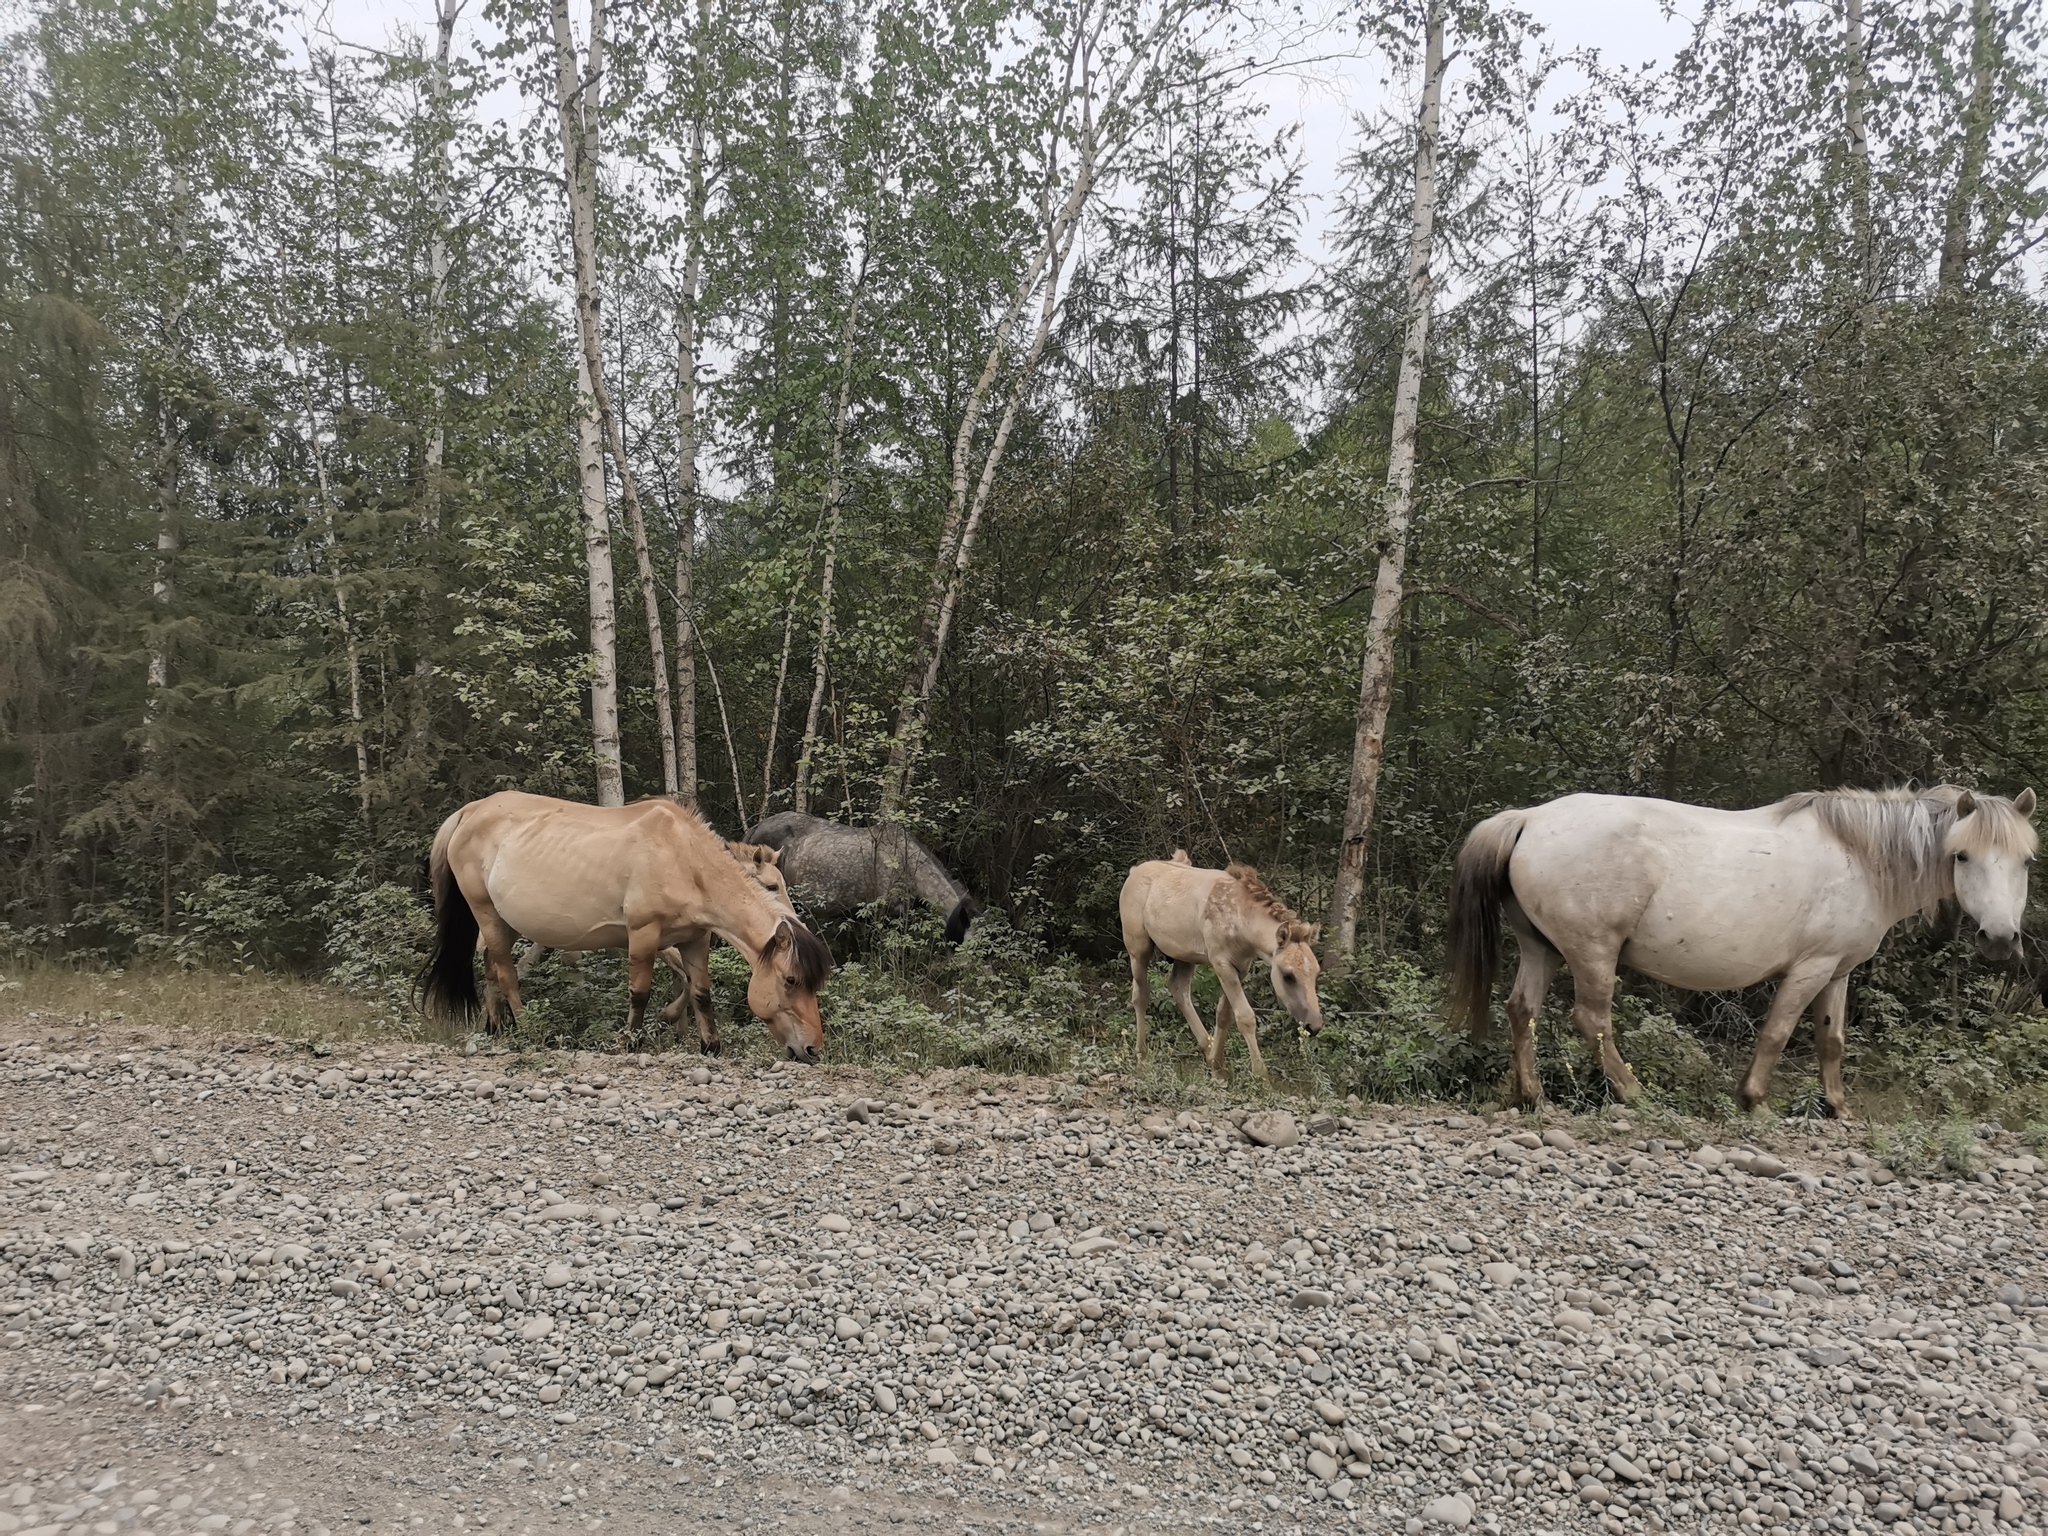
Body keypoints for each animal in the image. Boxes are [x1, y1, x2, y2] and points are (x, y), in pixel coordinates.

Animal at [419, 794, 835, 1056]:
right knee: (506, 972)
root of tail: (469, 811)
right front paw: (632, 1042)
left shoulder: (696, 939)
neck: (684, 858)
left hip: (505, 922)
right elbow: (640, 993)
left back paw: (496, 1028)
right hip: (486, 912)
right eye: (790, 980)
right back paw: (529, 1030)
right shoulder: (644, 935)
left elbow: (701, 992)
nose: (812, 1049)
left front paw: (710, 1046)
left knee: (491, 966)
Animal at [1122, 856, 1327, 1081]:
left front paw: (1217, 1067)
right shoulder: (1222, 964)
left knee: (1178, 989)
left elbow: (1224, 1015)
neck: (1241, 919)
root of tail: (1134, 871)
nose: (1313, 1026)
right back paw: (1142, 1058)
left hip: (1185, 956)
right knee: (1140, 996)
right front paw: (1262, 1078)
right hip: (1138, 950)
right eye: (1288, 975)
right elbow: (1245, 1017)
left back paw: (1206, 1047)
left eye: (1316, 973)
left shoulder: (1241, 967)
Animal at [1449, 786, 2039, 1114]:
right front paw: (1754, 1101)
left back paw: (1531, 1096)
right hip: (1592, 953)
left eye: (2027, 860)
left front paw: (1838, 1107)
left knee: (1521, 1010)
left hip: (1542, 949)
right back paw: (1633, 1094)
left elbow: (1832, 1041)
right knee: (1591, 1020)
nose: (2000, 938)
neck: (1861, 858)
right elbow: (1777, 1033)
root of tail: (1529, 818)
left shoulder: (1837, 973)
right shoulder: (1810, 969)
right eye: (1962, 856)